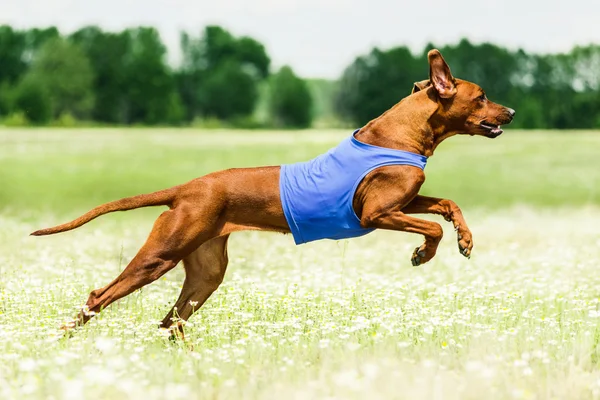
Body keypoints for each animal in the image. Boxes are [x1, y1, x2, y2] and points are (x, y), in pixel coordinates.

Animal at [30, 49, 512, 334]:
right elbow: (431, 228)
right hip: (161, 253)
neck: (401, 134)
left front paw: (466, 239)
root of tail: (187, 188)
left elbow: (447, 205)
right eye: (482, 96)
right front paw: (423, 254)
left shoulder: (406, 201)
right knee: (101, 297)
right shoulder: (376, 213)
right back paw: (65, 340)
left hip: (206, 270)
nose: (508, 111)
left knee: (171, 321)